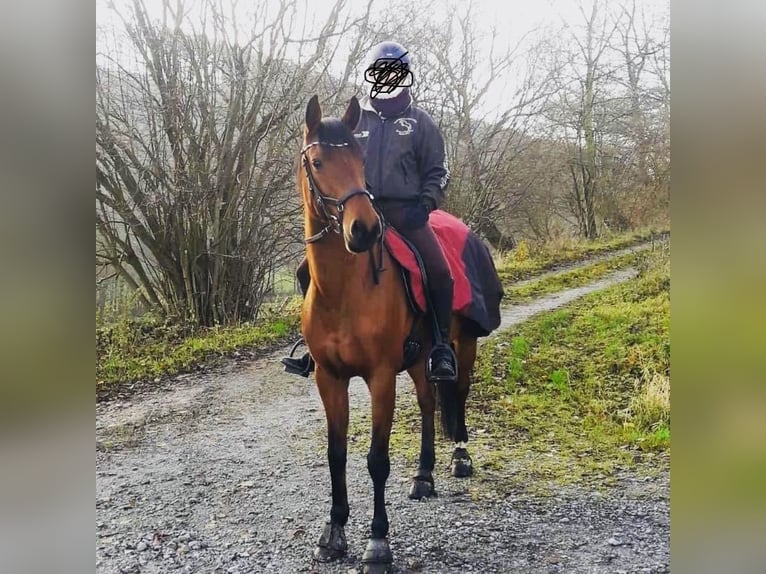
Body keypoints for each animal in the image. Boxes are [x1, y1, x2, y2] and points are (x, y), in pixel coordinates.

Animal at [298, 94, 478, 573]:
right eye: (318, 161)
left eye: (360, 159)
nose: (364, 229)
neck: (344, 291)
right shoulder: (329, 377)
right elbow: (336, 454)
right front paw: (334, 532)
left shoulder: (379, 377)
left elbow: (377, 459)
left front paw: (377, 543)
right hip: (418, 360)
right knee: (429, 402)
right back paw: (424, 476)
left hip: (463, 346)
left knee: (458, 395)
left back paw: (460, 457)